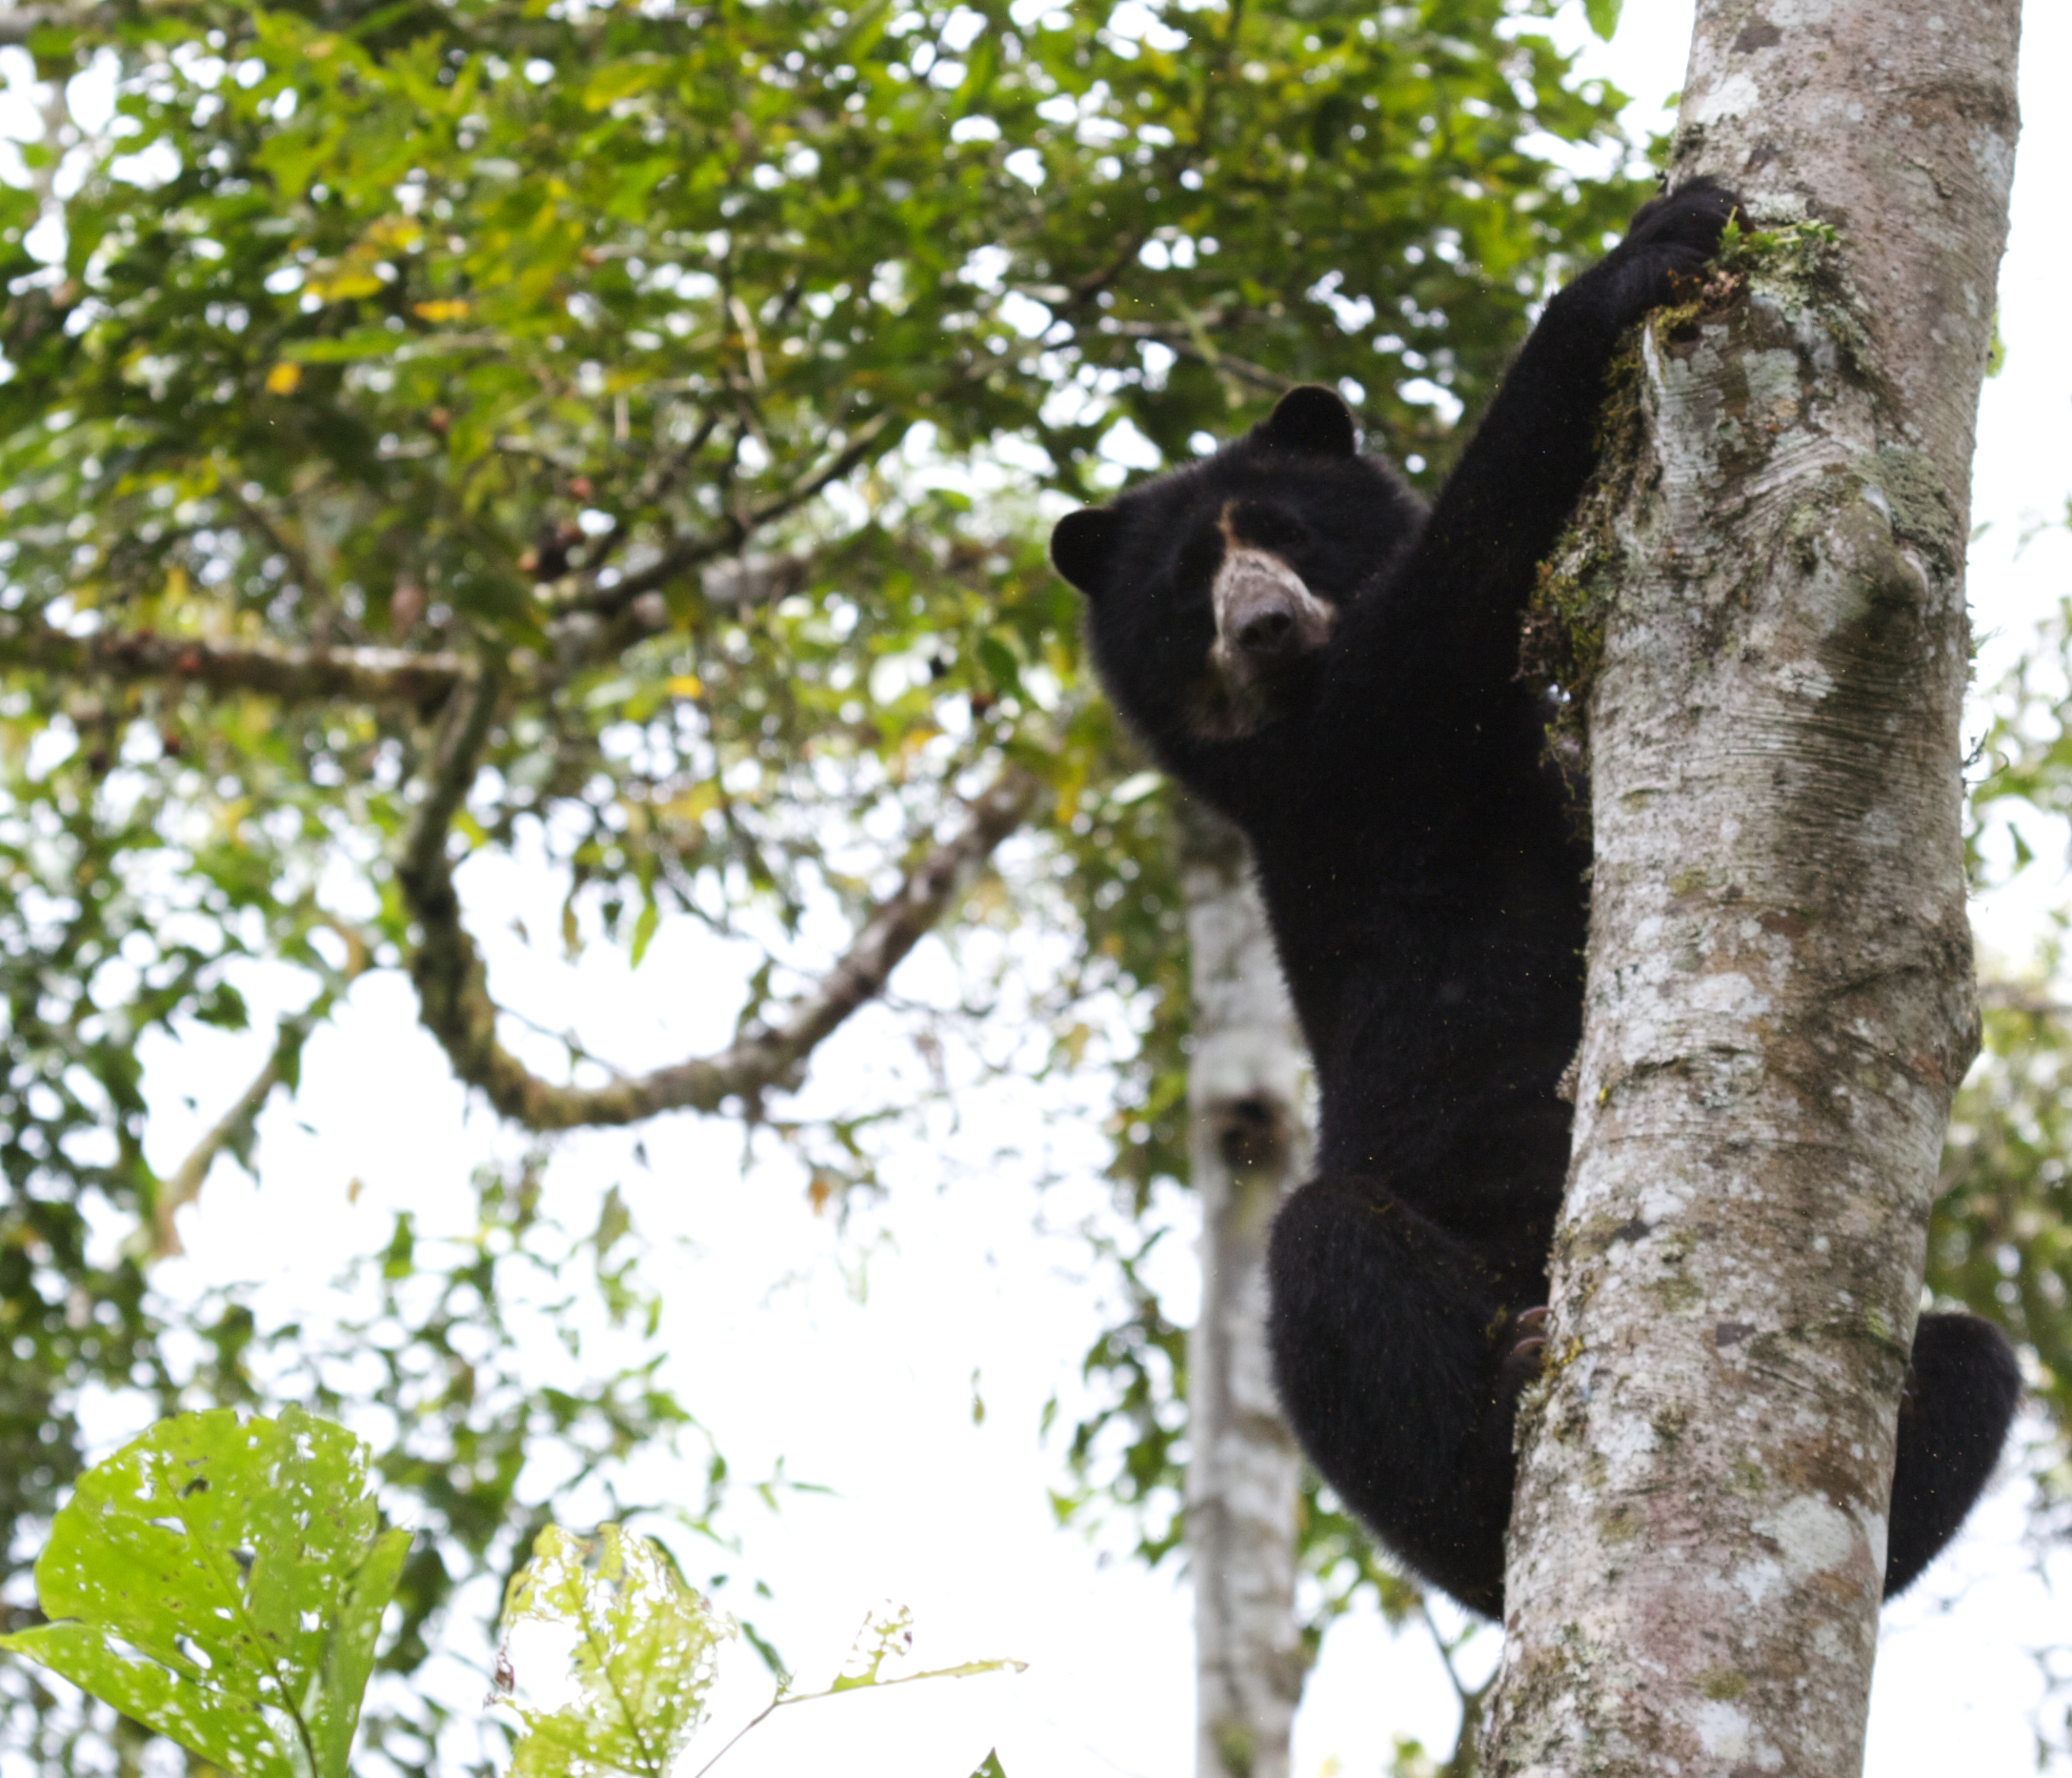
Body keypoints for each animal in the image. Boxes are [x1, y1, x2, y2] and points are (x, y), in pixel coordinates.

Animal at [1044, 180, 2014, 1607]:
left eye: (1285, 535)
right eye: (1184, 591)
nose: (1264, 625)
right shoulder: (1346, 768)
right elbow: (1452, 591)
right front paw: (1642, 253)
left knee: (1976, 1360)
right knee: (1329, 1260)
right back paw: (1503, 1401)